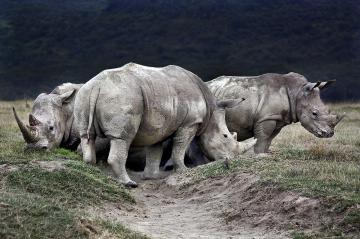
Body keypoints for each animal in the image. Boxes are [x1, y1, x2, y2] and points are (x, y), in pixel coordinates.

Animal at [73, 63, 255, 187]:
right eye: (225, 136)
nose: (232, 160)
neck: (211, 111)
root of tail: (97, 86)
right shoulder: (190, 122)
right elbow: (179, 147)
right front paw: (183, 170)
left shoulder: (158, 126)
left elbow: (155, 151)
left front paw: (153, 177)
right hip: (122, 96)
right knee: (122, 139)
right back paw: (129, 184)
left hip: (85, 95)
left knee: (86, 136)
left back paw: (92, 173)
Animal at [208, 72, 346, 153]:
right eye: (314, 113)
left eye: (328, 110)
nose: (329, 134)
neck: (296, 92)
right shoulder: (266, 118)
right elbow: (262, 138)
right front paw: (258, 155)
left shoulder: (277, 118)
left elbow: (268, 140)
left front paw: (263, 154)